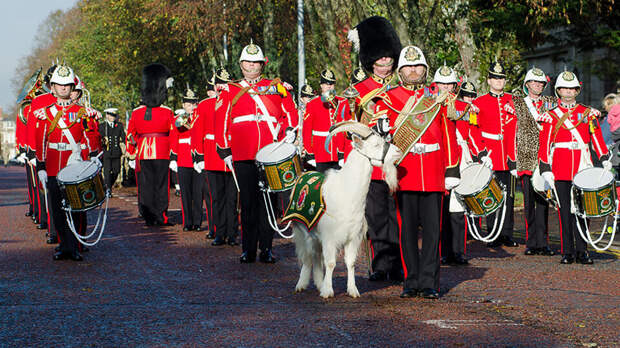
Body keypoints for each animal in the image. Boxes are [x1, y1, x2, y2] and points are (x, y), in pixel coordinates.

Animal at [292, 121, 400, 298]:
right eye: (376, 144)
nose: (398, 151)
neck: (346, 194)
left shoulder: (353, 237)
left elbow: (351, 263)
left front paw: (353, 290)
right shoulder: (329, 237)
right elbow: (330, 263)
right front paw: (328, 291)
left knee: (315, 255)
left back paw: (319, 283)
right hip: (302, 229)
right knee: (307, 256)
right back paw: (301, 284)